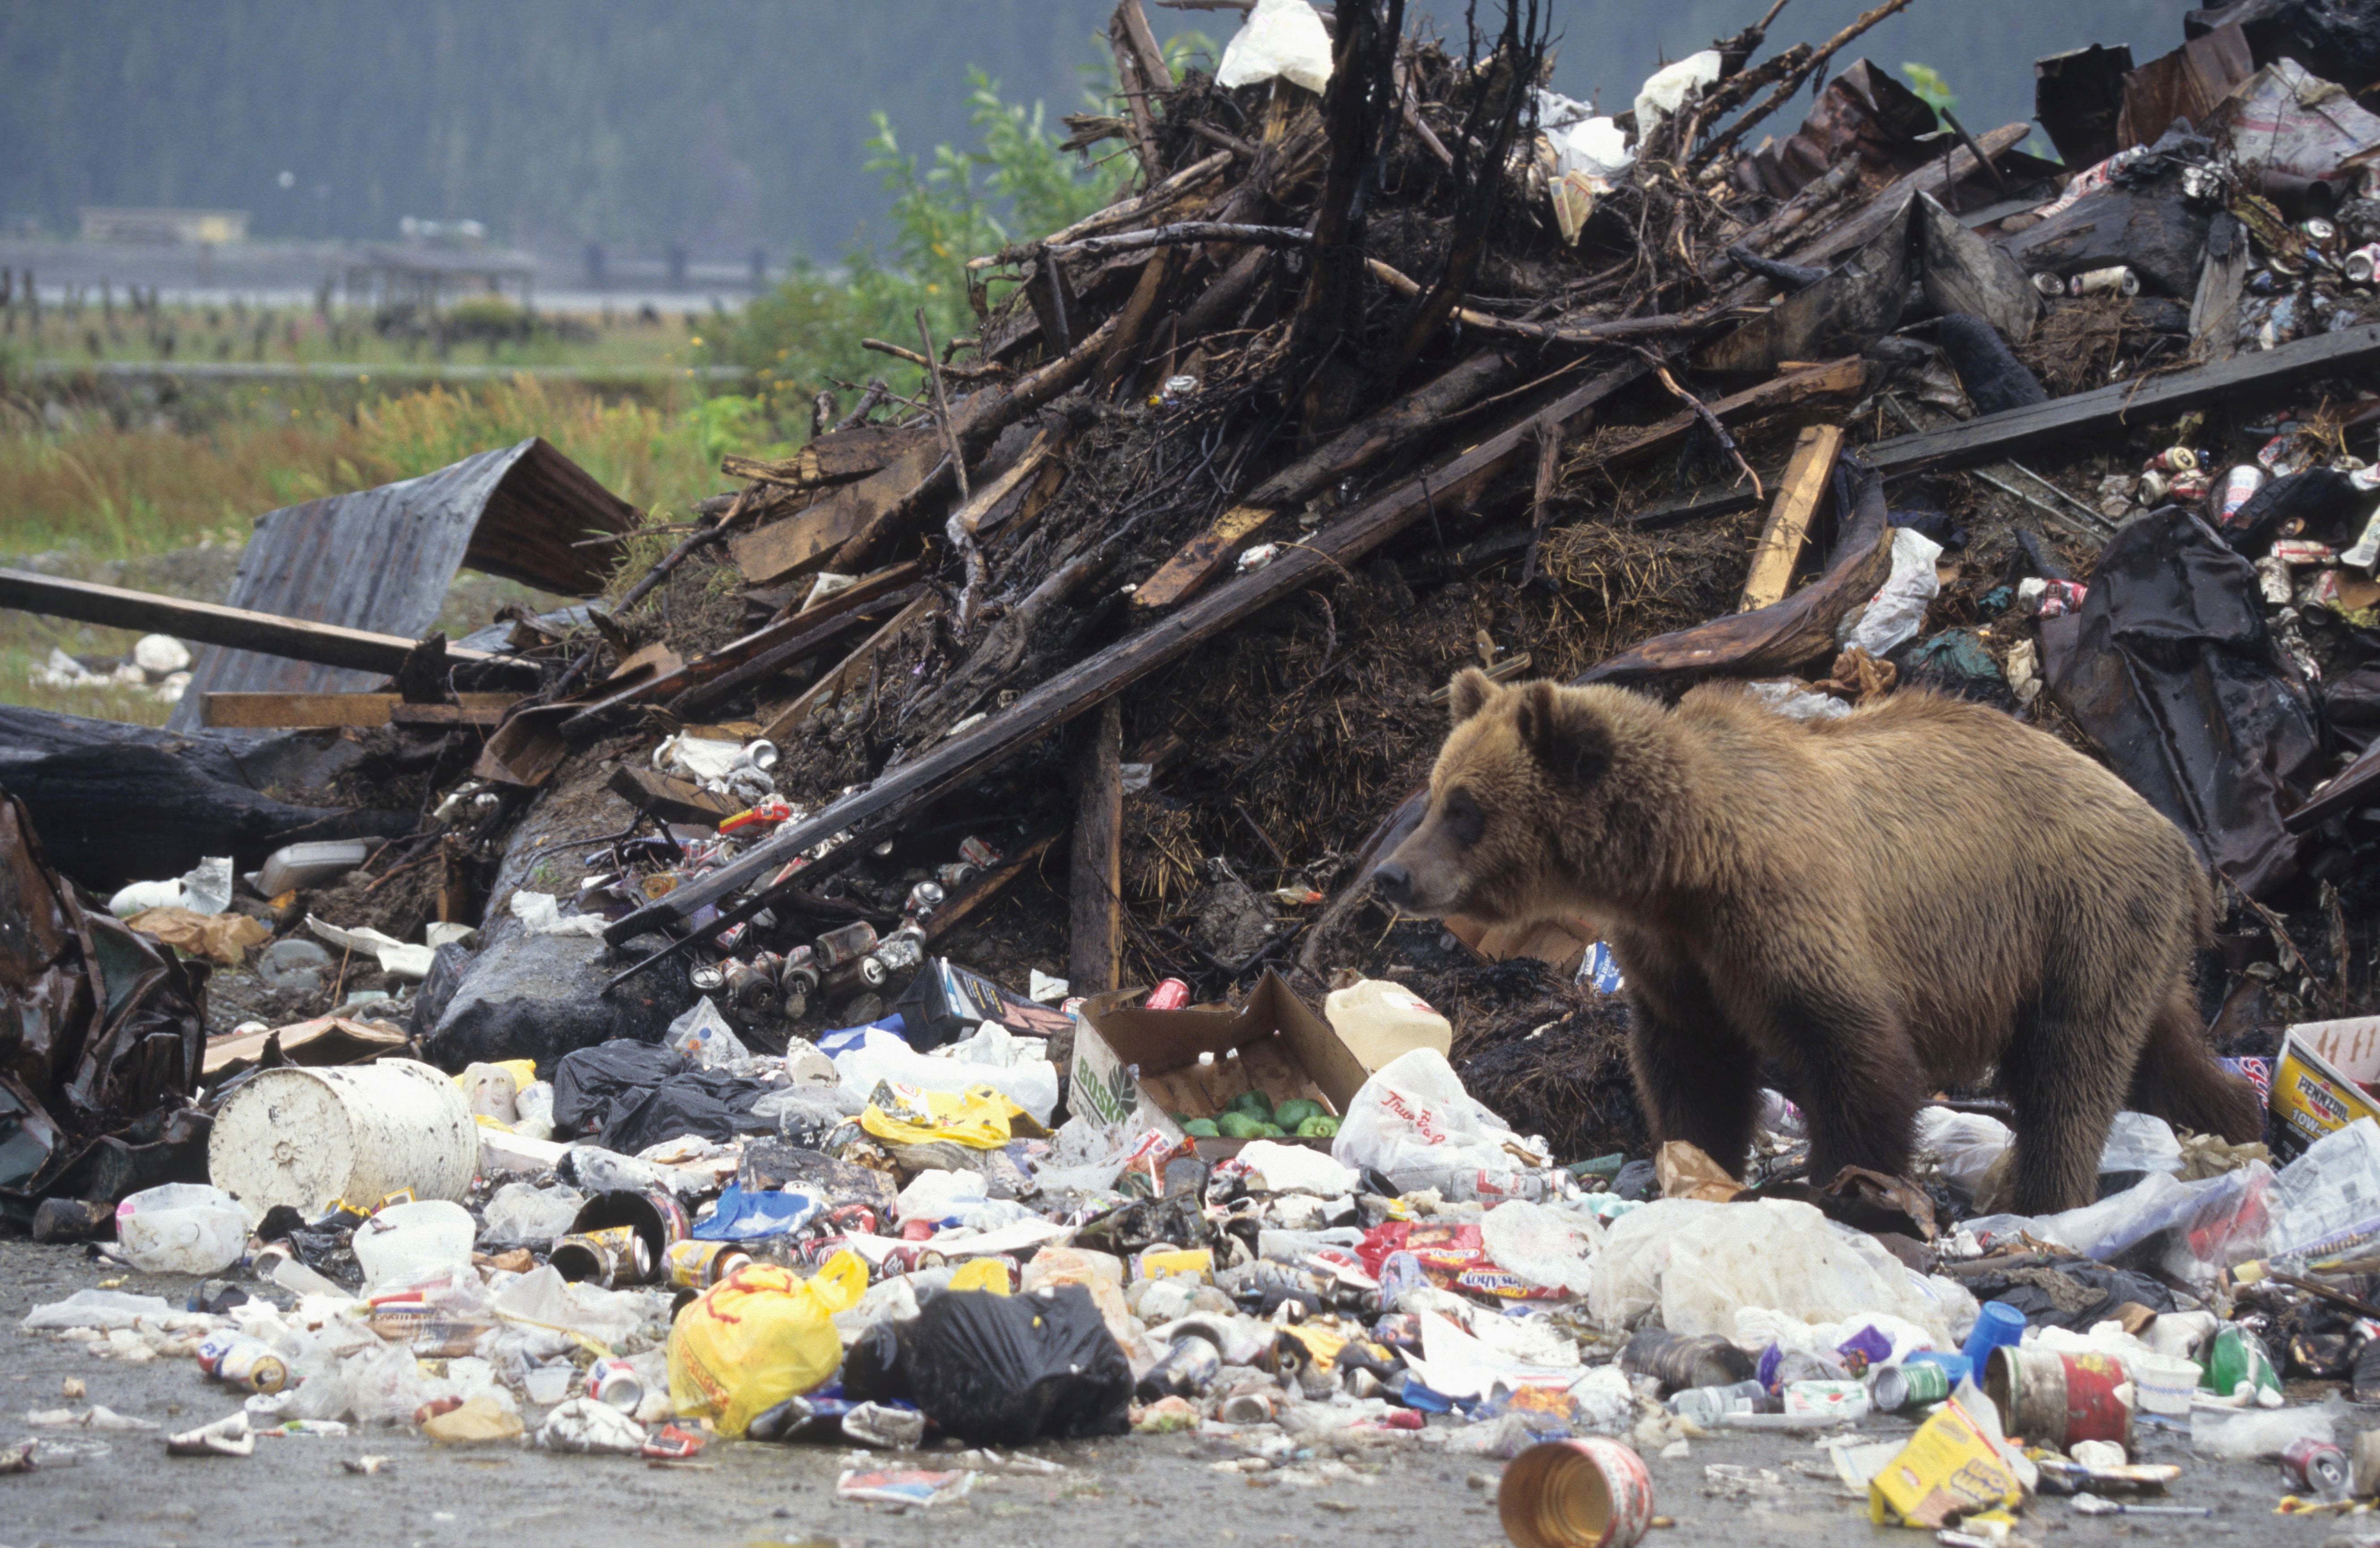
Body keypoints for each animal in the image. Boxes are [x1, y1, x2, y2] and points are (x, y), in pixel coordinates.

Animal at [1369, 669, 2265, 1215]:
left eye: (1465, 808)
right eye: (1438, 791)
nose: (1391, 874)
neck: (1680, 861)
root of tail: (2180, 845)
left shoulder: (1784, 910)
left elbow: (1856, 1051)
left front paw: (1850, 1187)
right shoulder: (1676, 954)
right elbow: (1691, 1061)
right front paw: (1695, 1166)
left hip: (2075, 915)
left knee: (2069, 1067)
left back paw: (2044, 1197)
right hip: (2127, 946)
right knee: (2162, 1055)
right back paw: (2241, 1121)